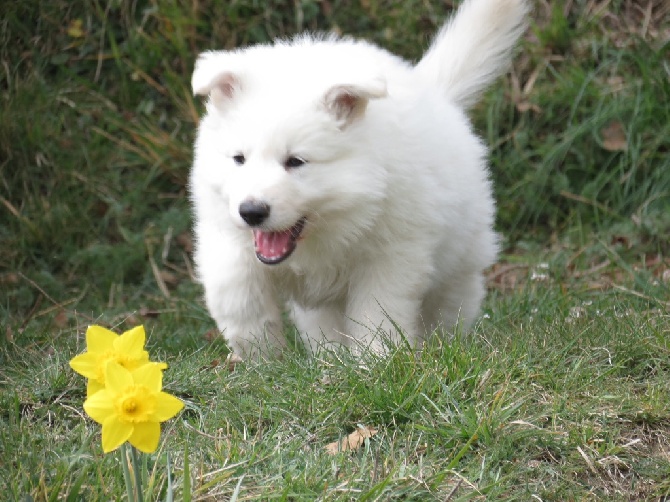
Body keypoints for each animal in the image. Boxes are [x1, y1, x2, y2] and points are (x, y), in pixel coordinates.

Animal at [189, 0, 532, 356]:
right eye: (238, 159)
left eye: (296, 162)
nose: (252, 212)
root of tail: (434, 93)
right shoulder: (226, 234)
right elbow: (237, 292)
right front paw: (262, 355)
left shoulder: (391, 255)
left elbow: (377, 312)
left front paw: (377, 359)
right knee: (324, 325)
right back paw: (329, 359)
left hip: (460, 256)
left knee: (450, 303)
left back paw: (443, 345)